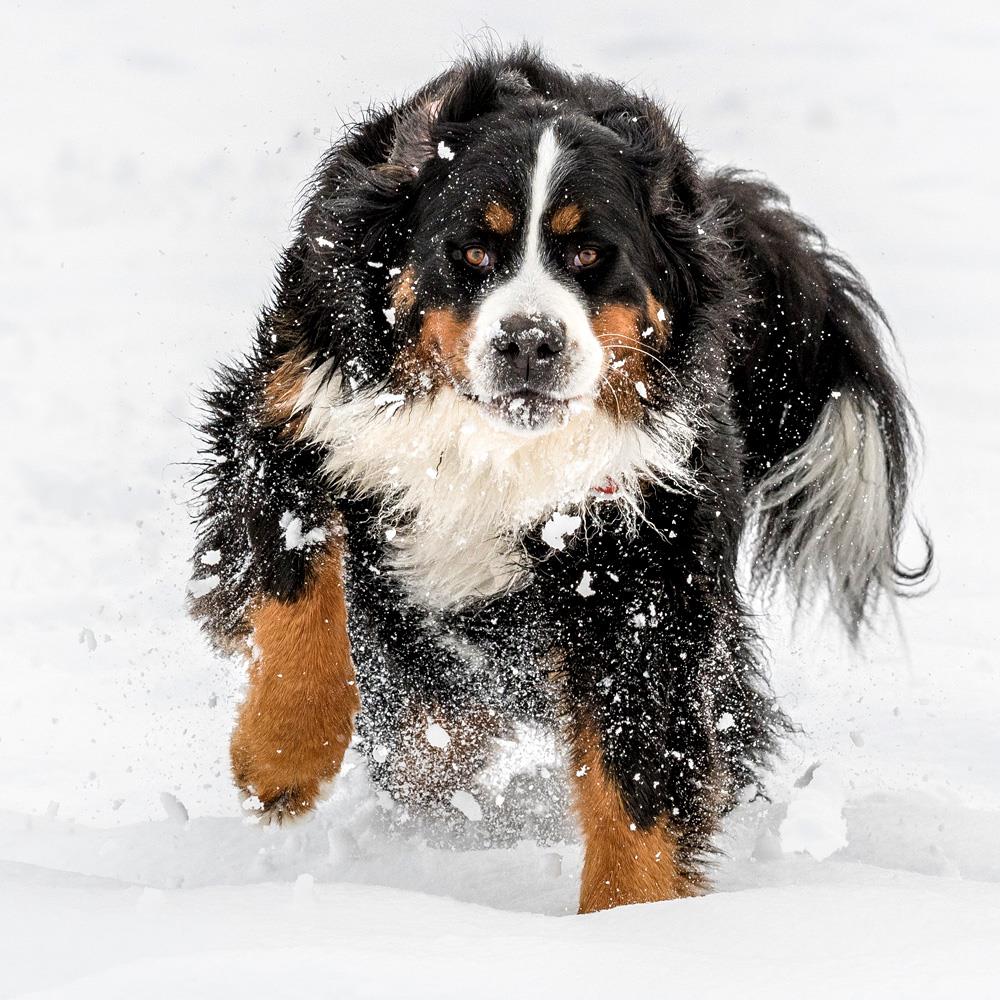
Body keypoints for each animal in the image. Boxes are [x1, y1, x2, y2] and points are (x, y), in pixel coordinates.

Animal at [193, 48, 928, 916]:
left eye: (588, 255)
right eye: (473, 252)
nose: (529, 340)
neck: (492, 450)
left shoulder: (637, 562)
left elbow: (638, 774)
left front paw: (626, 922)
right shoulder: (294, 417)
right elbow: (298, 592)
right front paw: (280, 759)